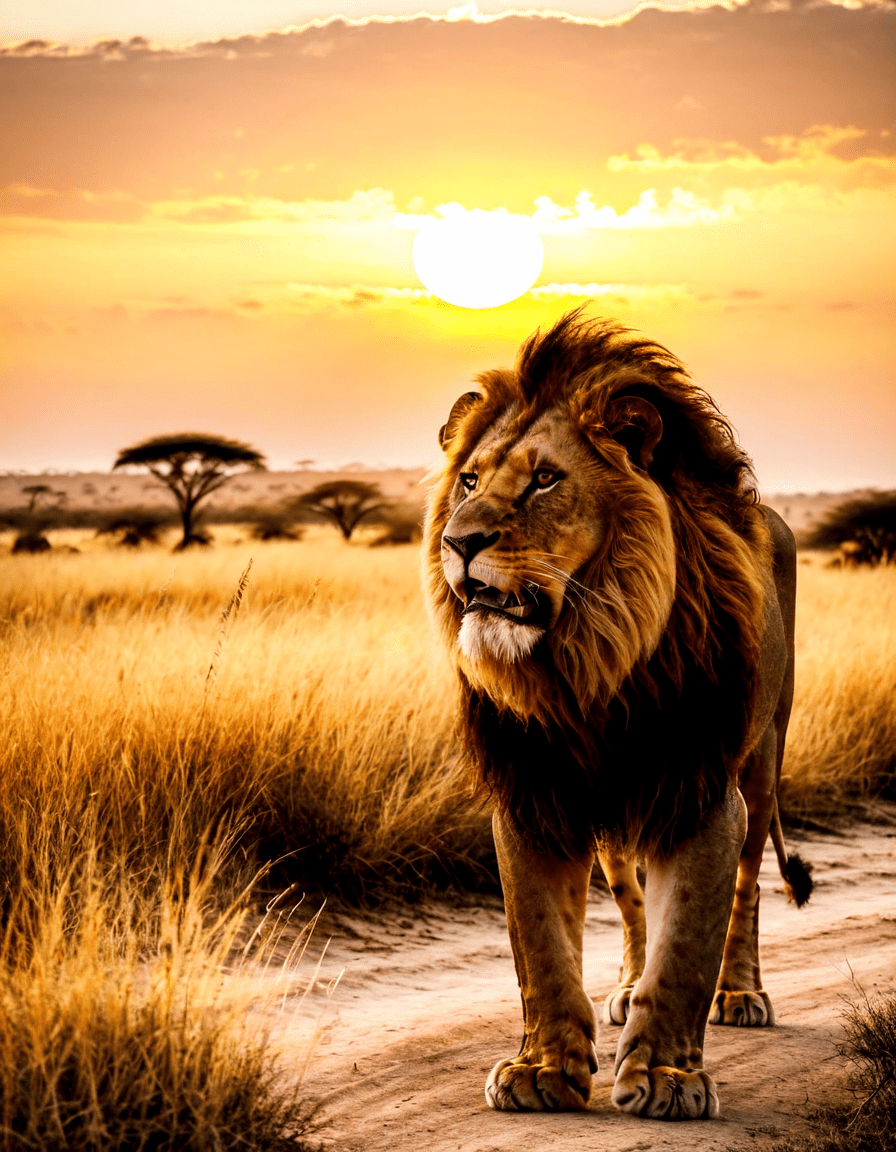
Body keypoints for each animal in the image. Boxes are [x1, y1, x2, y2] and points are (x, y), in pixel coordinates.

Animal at [422, 310, 812, 1121]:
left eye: (545, 478)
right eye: (469, 480)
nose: (458, 541)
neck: (585, 665)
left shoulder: (700, 789)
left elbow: (688, 938)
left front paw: (666, 1077)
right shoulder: (536, 791)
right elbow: (540, 945)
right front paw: (541, 1070)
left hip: (761, 768)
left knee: (750, 886)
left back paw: (742, 994)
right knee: (632, 903)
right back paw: (628, 987)